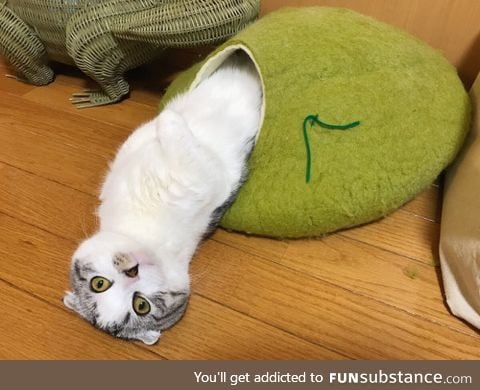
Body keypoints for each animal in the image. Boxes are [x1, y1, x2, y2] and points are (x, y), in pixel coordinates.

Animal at [62, 51, 262, 344]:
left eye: (99, 283)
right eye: (141, 305)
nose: (131, 271)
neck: (141, 229)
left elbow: (151, 131)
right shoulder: (204, 175)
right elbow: (175, 134)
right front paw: (169, 117)